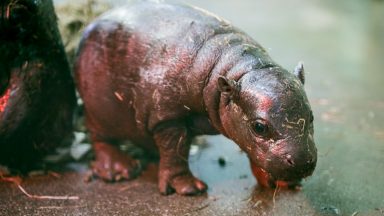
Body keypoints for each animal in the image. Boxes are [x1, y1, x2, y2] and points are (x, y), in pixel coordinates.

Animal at [76, 0, 318, 195]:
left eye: (312, 117)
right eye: (259, 126)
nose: (302, 162)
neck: (238, 70)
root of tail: (94, 21)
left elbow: (254, 151)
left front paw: (282, 184)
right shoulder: (167, 116)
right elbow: (176, 151)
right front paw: (190, 189)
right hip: (98, 108)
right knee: (99, 137)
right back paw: (121, 171)